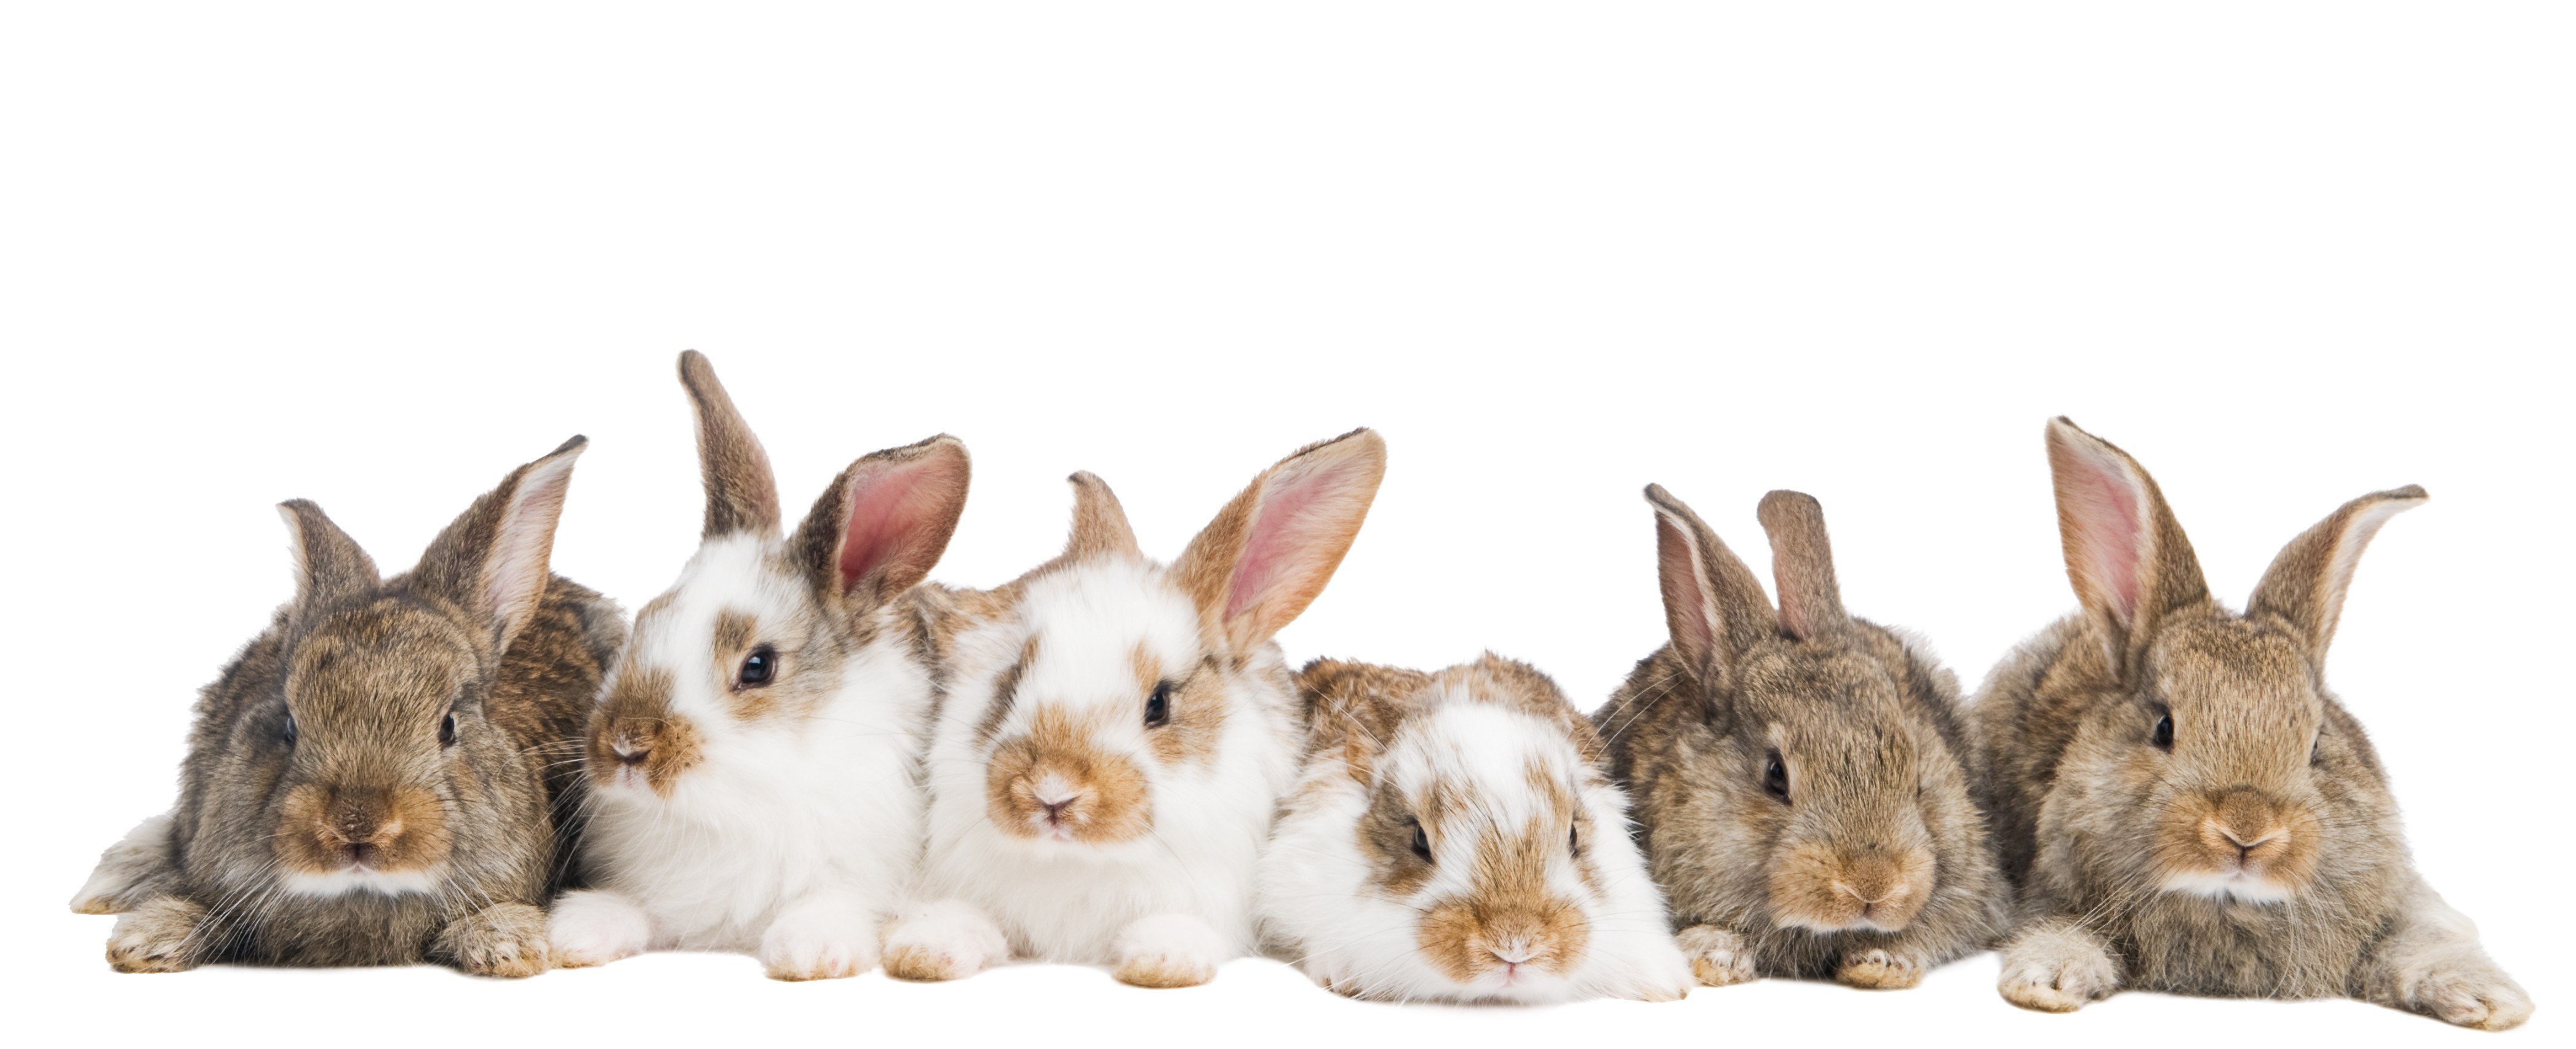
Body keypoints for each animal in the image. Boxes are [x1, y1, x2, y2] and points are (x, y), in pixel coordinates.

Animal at [546, 351, 969, 981]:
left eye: (758, 666)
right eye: (645, 618)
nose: (625, 745)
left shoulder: (859, 875)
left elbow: (832, 904)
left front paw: (807, 949)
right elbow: (633, 909)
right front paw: (576, 932)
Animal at [879, 429, 1387, 988]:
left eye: (1158, 704)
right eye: (1011, 681)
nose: (1052, 792)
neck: (1080, 861)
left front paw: (1162, 962)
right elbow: (963, 917)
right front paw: (926, 952)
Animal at [1966, 417, 2531, 1029]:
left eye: (2315, 744)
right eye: (2163, 727)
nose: (2247, 831)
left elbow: (2421, 938)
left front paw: (2488, 999)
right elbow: (2056, 931)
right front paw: (2048, 981)